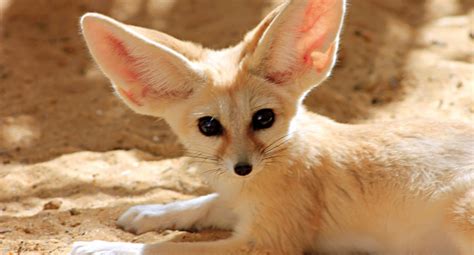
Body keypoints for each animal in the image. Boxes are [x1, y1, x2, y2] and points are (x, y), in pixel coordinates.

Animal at [72, 0, 472, 255]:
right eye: (208, 126)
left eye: (263, 118)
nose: (243, 167)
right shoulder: (239, 205)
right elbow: (203, 203)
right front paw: (151, 212)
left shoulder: (265, 243)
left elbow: (166, 250)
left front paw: (102, 247)